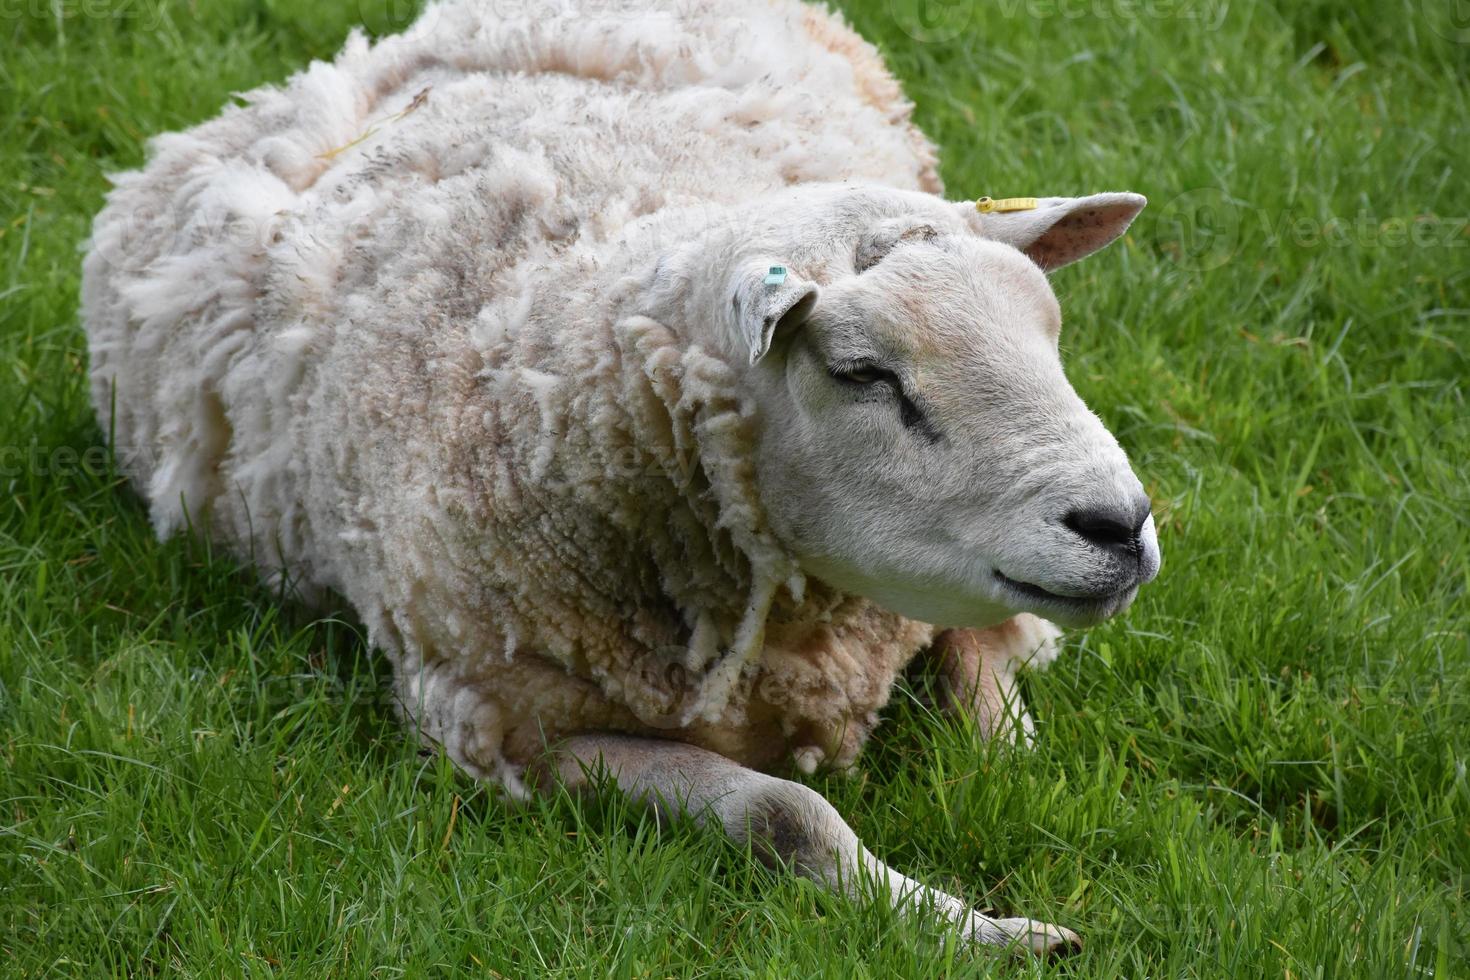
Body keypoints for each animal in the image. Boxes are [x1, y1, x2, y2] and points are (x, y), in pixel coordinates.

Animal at [80, 0, 1158, 952]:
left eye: (1051, 330)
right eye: (863, 372)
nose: (1121, 524)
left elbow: (991, 691)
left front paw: (1018, 793)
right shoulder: (510, 727)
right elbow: (784, 812)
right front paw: (975, 926)